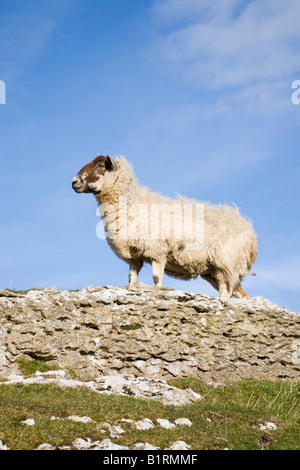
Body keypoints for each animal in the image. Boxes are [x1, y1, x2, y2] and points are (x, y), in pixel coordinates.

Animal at [72, 156, 258, 300]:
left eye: (100, 166)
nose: (74, 182)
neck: (132, 202)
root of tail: (249, 232)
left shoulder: (157, 251)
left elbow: (156, 278)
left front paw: (158, 291)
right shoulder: (134, 257)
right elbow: (131, 279)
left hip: (225, 263)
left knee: (226, 291)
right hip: (214, 270)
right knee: (240, 293)